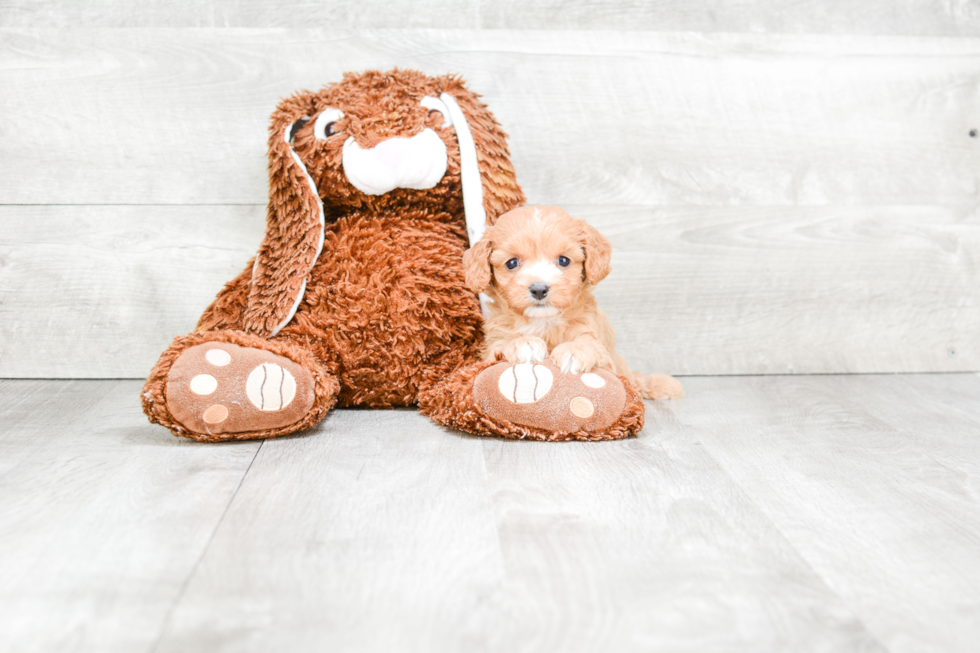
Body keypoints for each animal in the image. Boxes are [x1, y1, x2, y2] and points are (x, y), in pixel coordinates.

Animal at [466, 205, 680, 398]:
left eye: (563, 260)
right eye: (512, 263)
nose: (539, 289)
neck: (543, 322)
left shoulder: (598, 343)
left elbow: (589, 345)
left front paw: (574, 351)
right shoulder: (489, 350)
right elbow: (501, 345)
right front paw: (524, 343)